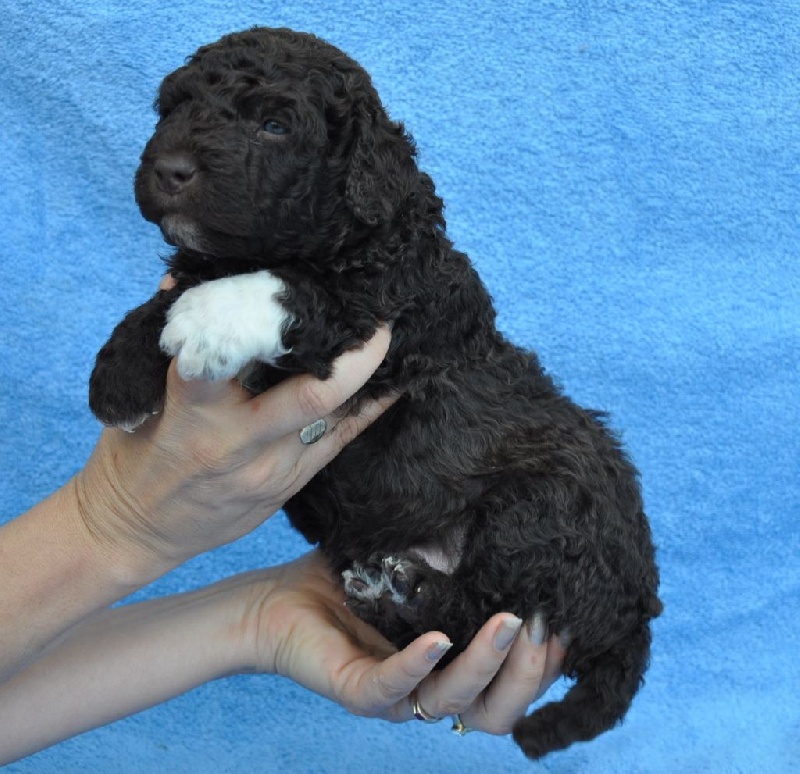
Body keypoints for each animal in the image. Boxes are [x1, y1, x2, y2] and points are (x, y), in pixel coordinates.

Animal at [89, 27, 662, 760]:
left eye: (275, 126)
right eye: (173, 107)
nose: (171, 168)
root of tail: (633, 613)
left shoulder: (396, 313)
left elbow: (294, 291)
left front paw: (209, 318)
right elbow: (178, 285)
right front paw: (121, 372)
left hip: (541, 509)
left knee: (477, 619)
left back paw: (400, 592)